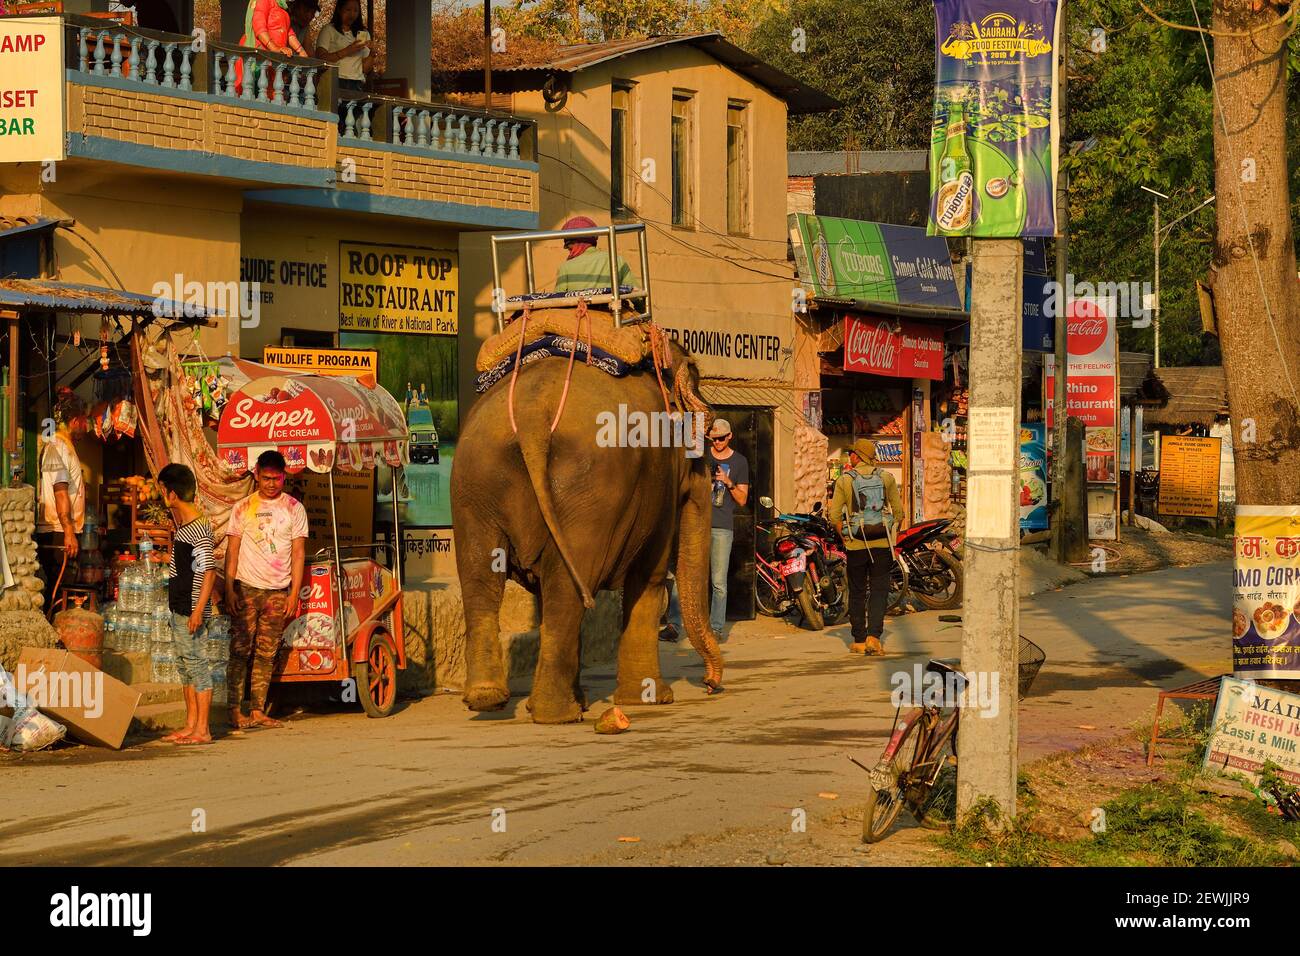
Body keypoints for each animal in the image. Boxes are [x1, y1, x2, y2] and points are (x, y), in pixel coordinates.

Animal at [451, 314, 725, 724]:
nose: (710, 685)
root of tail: (531, 414)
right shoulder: (658, 486)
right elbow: (650, 576)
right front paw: (653, 699)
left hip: (476, 479)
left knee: (483, 578)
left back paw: (490, 699)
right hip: (586, 491)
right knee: (568, 585)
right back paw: (558, 714)